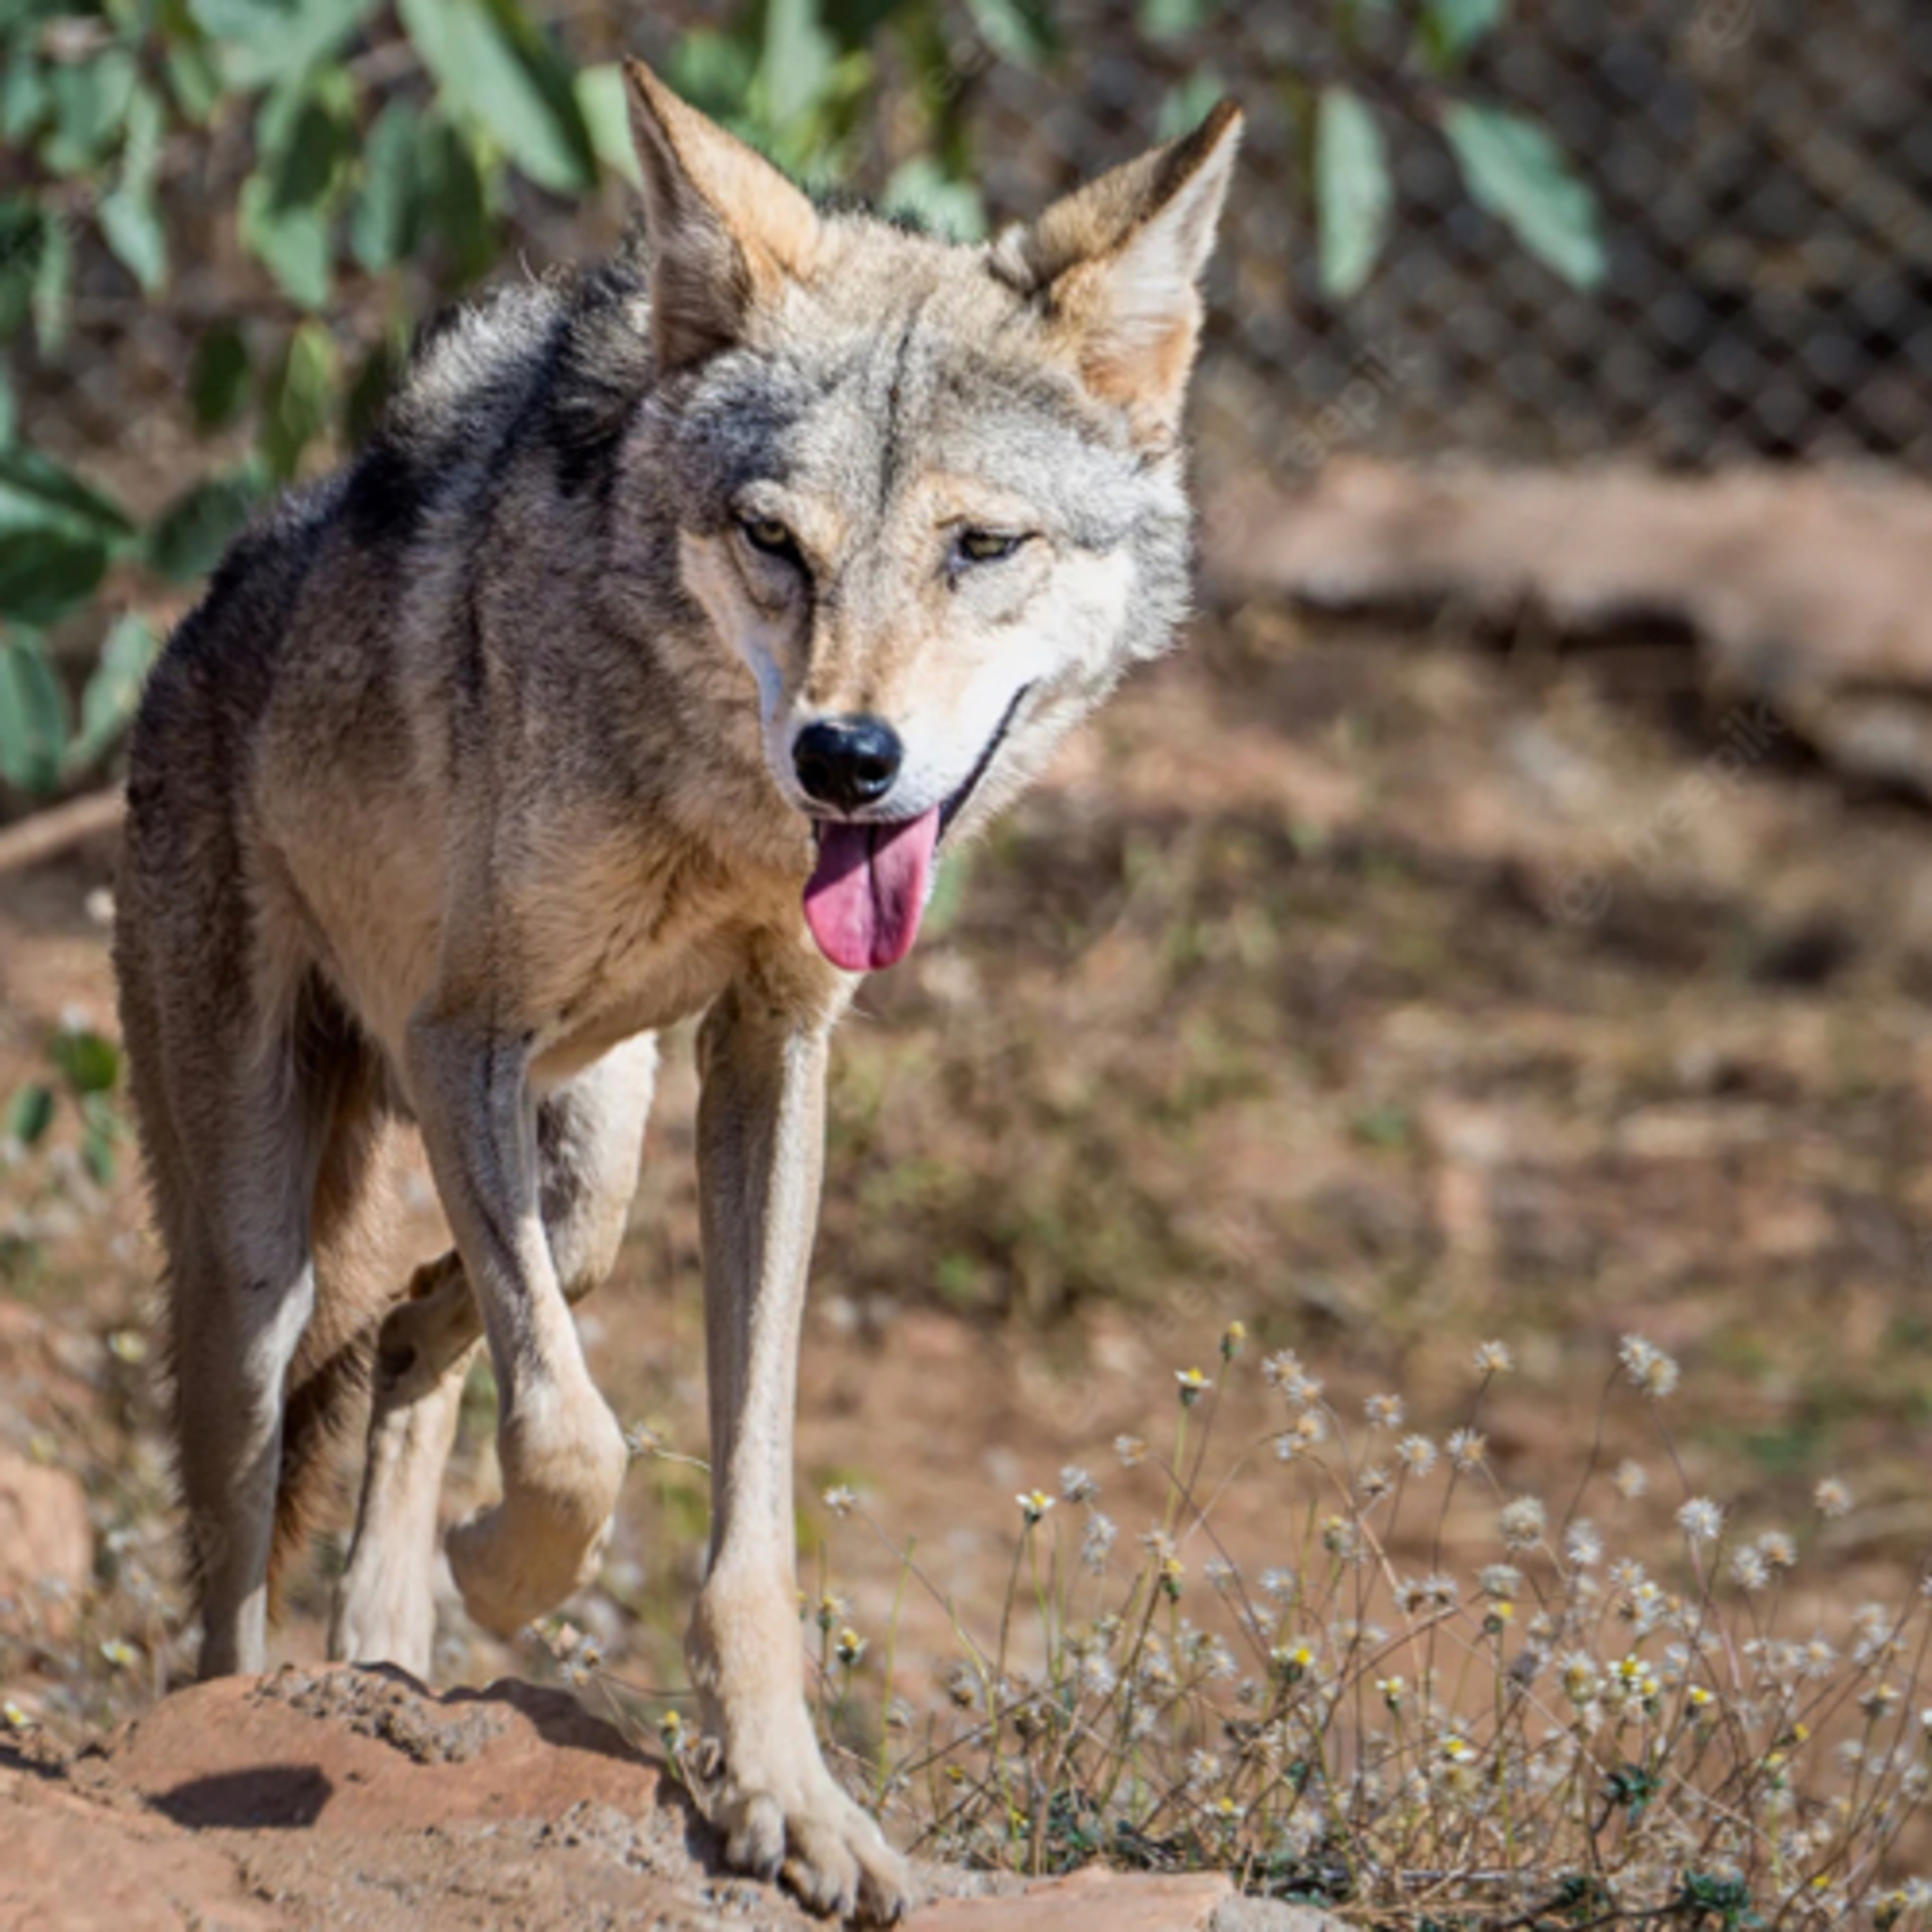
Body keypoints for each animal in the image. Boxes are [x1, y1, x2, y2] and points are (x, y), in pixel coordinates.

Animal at [113, 60, 1239, 1921]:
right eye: (773, 541)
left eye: (980, 546)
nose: (846, 756)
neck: (714, 816)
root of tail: (201, 612)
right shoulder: (462, 1038)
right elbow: (579, 1437)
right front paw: (509, 1579)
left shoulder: (770, 1058)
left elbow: (743, 1490)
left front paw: (786, 1797)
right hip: (262, 1248)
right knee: (246, 1539)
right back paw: (274, 1692)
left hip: (594, 1165)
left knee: (424, 1336)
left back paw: (386, 1658)